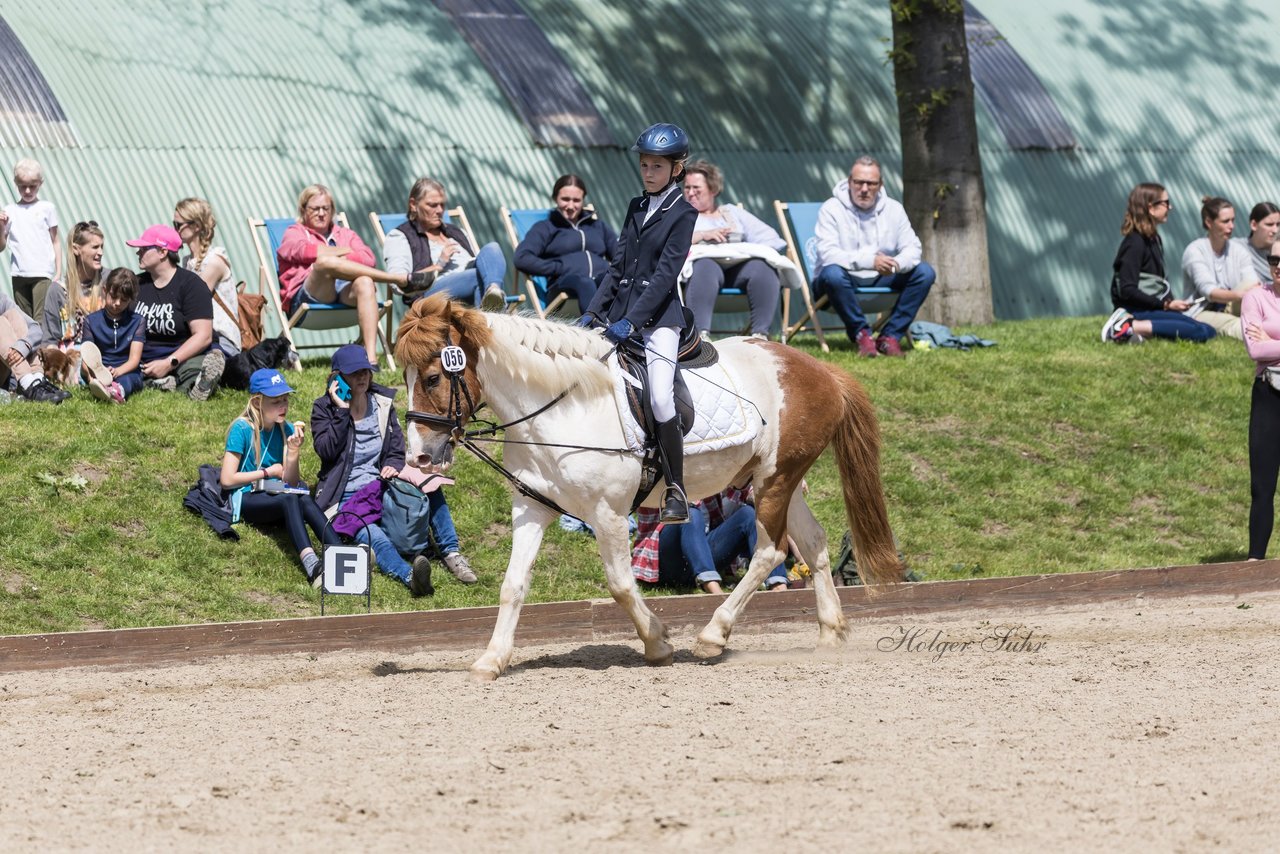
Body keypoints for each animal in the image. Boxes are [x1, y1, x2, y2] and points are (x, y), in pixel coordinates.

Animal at [399, 294, 901, 681]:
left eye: (432, 378)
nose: (417, 457)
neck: (560, 408)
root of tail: (820, 370)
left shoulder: (607, 513)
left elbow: (621, 584)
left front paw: (658, 644)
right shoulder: (532, 507)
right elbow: (513, 584)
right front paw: (492, 659)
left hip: (774, 482)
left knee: (769, 551)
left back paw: (712, 636)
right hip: (778, 479)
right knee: (813, 544)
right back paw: (829, 633)